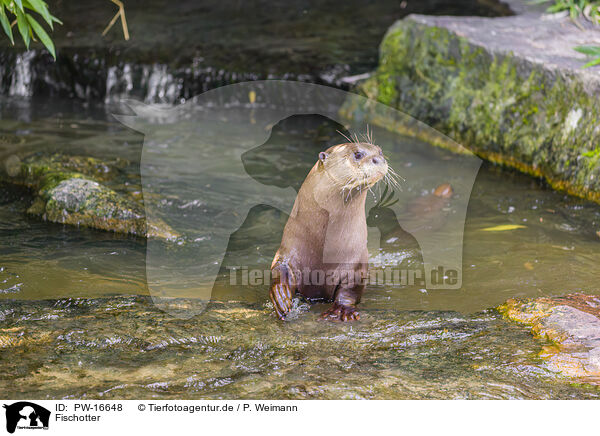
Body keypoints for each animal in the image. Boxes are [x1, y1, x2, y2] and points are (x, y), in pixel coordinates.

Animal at [268, 140, 390, 320]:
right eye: (358, 154)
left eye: (380, 151)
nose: (379, 159)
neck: (322, 246)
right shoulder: (288, 249)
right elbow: (279, 270)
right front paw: (280, 296)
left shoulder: (356, 264)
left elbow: (350, 290)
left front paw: (342, 310)